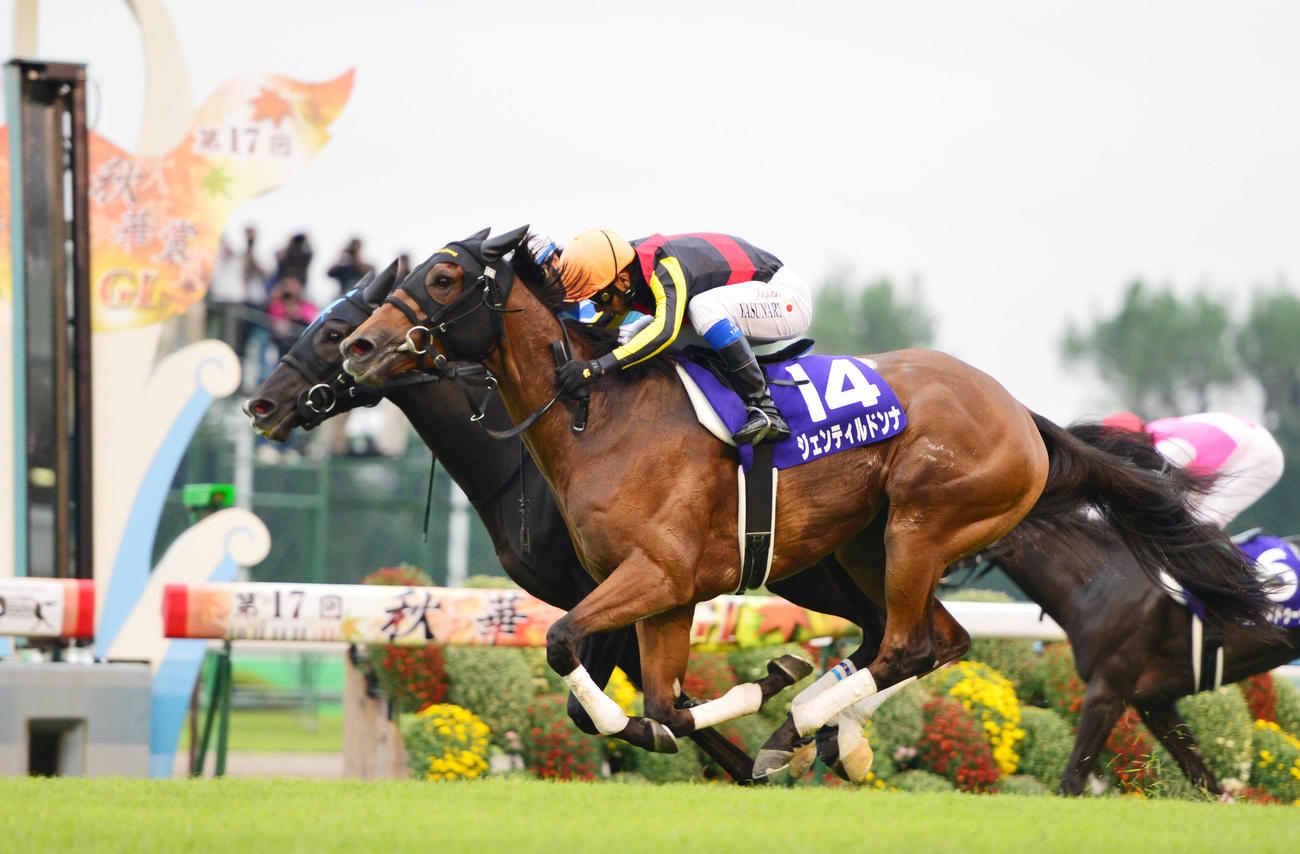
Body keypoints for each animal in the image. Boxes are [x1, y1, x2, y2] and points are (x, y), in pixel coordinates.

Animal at [242, 258, 888, 782]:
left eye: (331, 332)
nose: (261, 405)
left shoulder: (615, 585)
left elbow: (604, 702)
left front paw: (760, 753)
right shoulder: (615, 592)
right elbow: (648, 699)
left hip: (826, 570)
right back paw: (838, 737)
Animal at [339, 225, 1275, 777]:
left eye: (446, 276)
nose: (359, 346)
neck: (598, 414)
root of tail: (1023, 418)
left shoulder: (656, 573)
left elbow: (569, 647)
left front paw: (770, 690)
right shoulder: (667, 592)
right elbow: (661, 705)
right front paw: (752, 690)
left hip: (921, 524)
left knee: (907, 644)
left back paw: (804, 724)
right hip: (868, 544)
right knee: (938, 641)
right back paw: (803, 725)